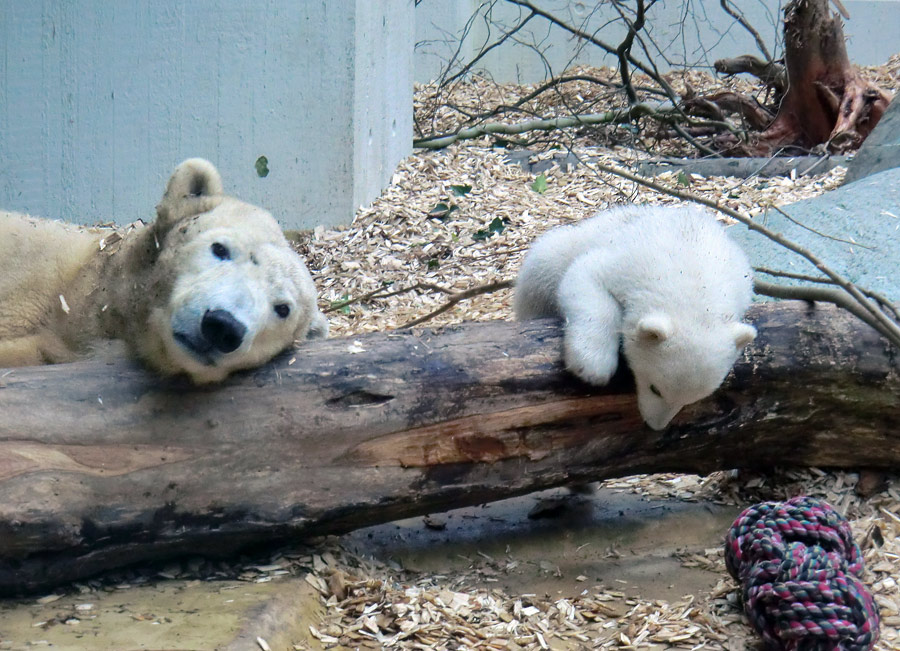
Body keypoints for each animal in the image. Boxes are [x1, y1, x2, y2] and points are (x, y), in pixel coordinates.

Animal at [516, 201, 756, 430]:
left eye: (692, 400)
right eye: (655, 388)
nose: (655, 426)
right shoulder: (627, 262)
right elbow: (585, 275)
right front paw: (592, 366)